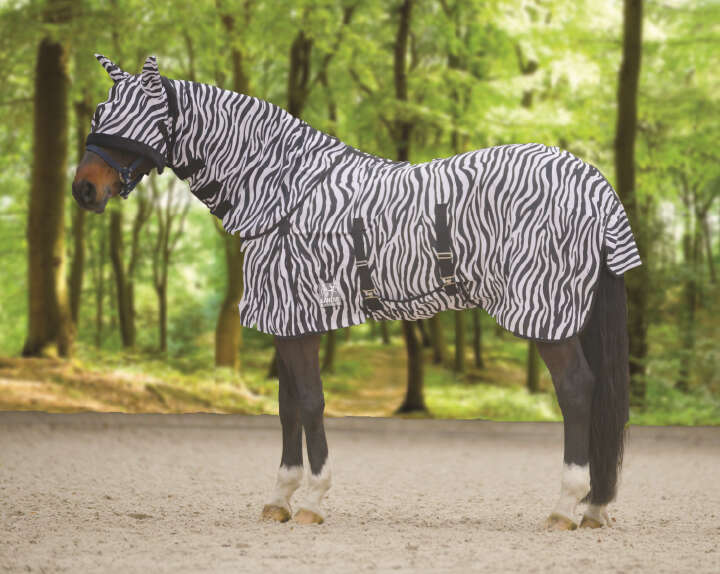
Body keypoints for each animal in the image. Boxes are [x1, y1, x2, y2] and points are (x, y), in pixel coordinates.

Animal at [73, 54, 641, 529]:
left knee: (577, 391)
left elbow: (309, 402)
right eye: (102, 108)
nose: (83, 189)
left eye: (137, 116)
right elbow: (288, 405)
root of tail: (593, 183)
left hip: (548, 314)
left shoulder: (296, 314)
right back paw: (594, 507)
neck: (283, 190)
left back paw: (565, 507)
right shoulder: (287, 320)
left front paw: (312, 500)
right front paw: (280, 498)